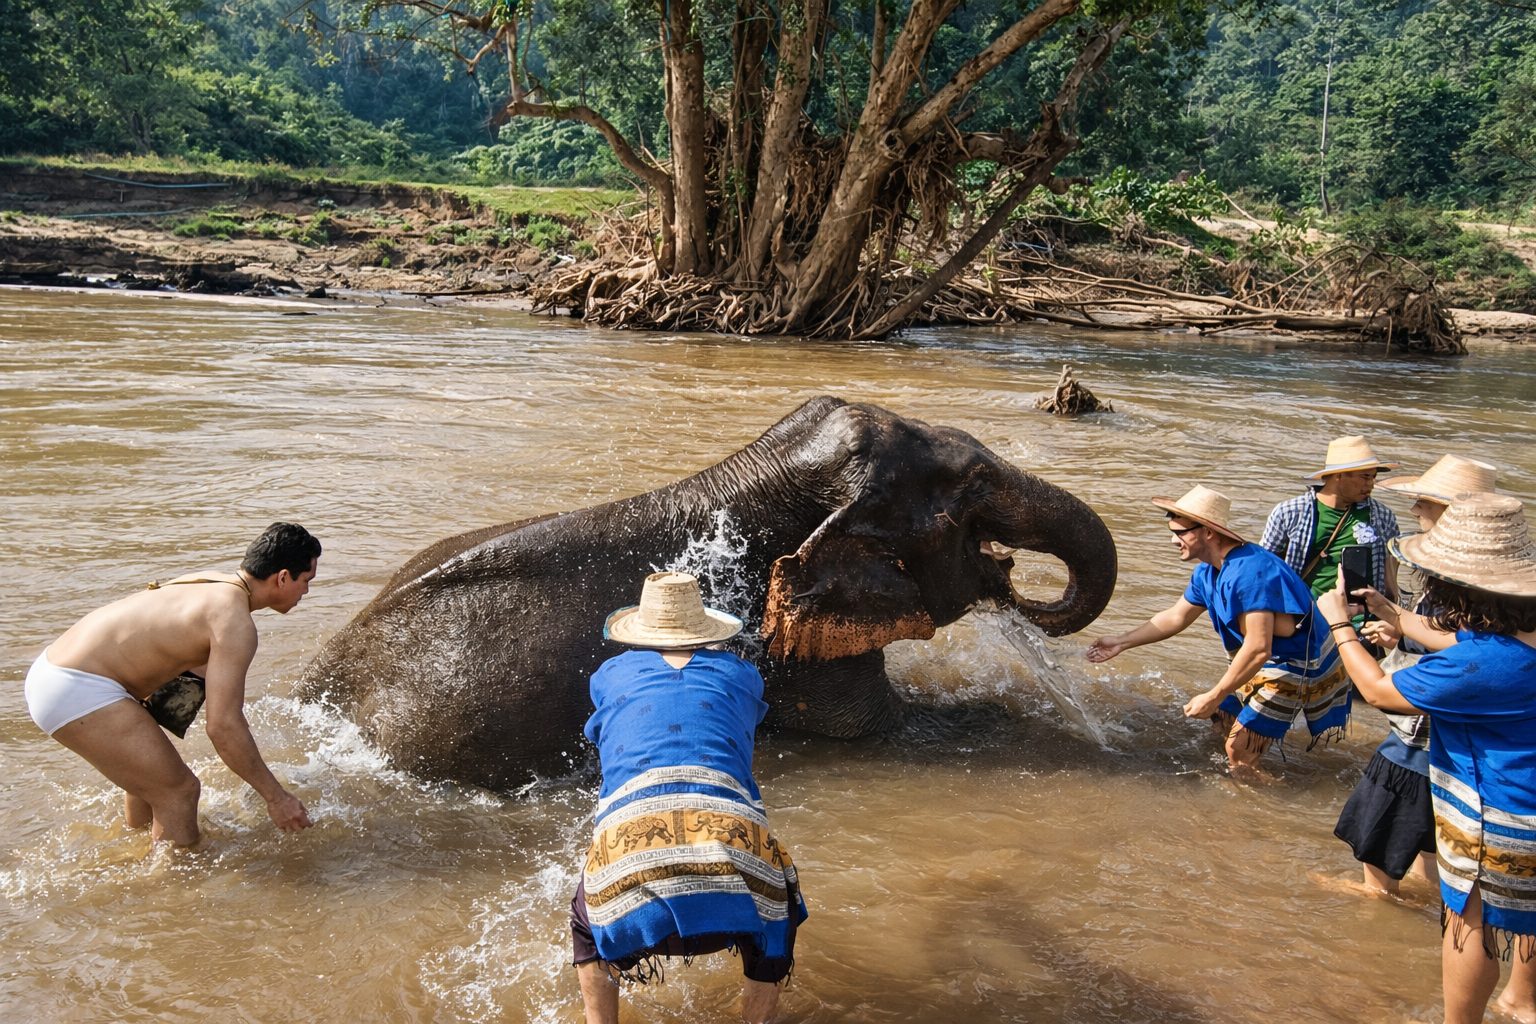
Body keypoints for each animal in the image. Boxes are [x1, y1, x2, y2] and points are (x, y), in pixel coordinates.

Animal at [296, 396, 1117, 792]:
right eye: (974, 484)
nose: (1003, 571)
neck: (757, 474)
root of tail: (316, 682)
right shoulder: (791, 651)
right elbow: (884, 728)